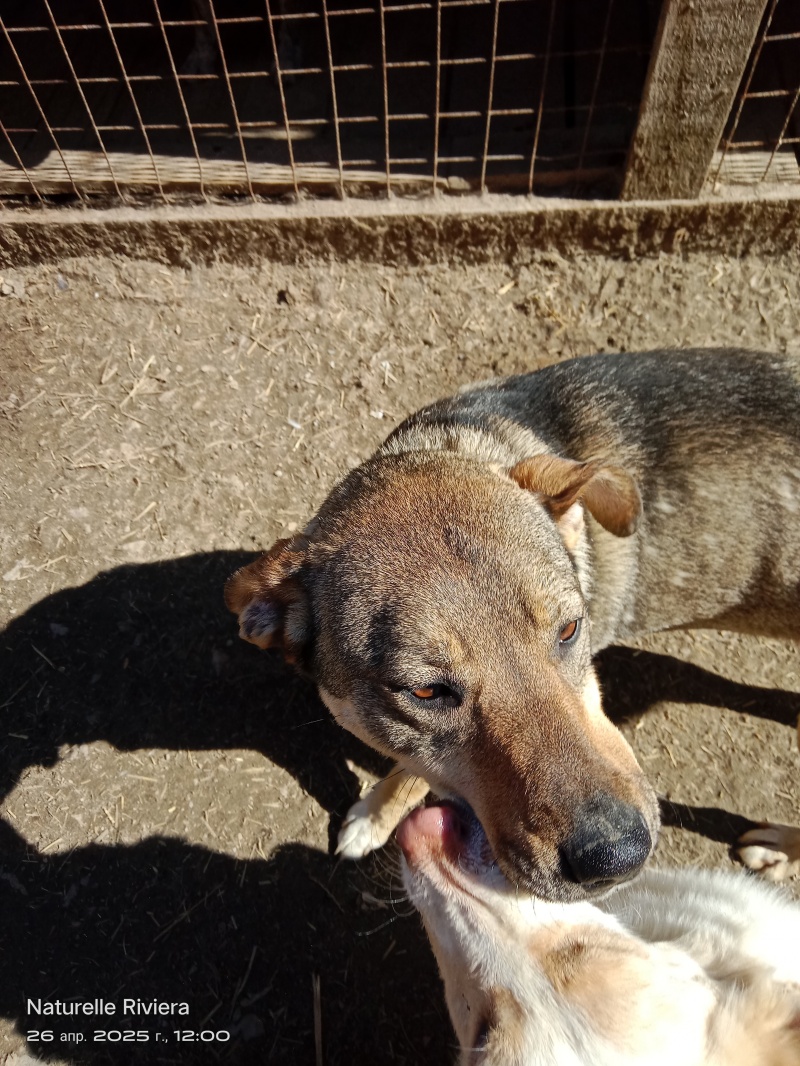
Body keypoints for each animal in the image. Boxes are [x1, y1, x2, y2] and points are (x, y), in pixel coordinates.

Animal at [225, 348, 800, 901]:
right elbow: (412, 763)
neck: (469, 441)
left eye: (569, 629)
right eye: (425, 691)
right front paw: (376, 810)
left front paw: (376, 814)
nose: (616, 858)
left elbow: (413, 776)